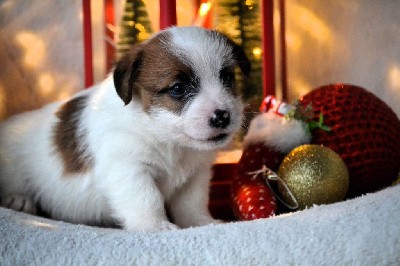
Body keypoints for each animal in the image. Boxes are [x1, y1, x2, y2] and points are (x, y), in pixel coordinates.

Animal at [0, 26, 250, 232]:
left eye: (227, 78)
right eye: (178, 88)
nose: (222, 116)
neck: (166, 139)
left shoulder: (195, 176)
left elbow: (192, 204)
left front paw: (201, 223)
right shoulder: (129, 168)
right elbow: (147, 199)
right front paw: (156, 226)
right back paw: (18, 199)